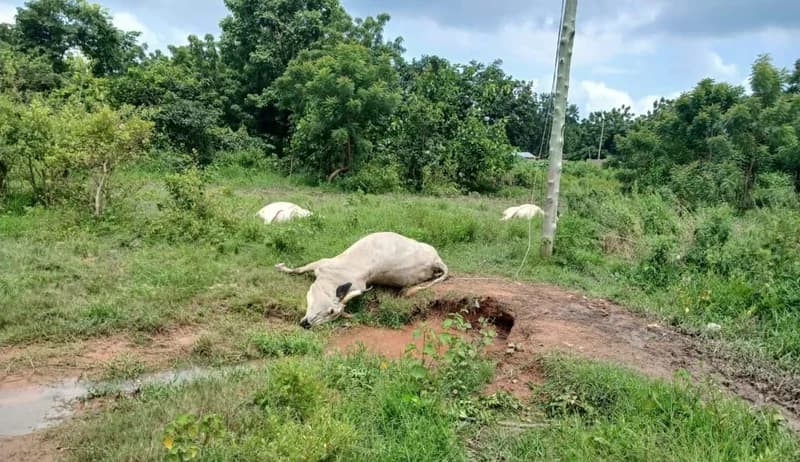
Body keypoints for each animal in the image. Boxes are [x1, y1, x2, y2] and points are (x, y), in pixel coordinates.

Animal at [275, 232, 449, 328]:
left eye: (332, 314)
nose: (307, 324)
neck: (332, 280)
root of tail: (435, 260)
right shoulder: (321, 263)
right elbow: (298, 269)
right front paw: (280, 266)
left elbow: (298, 269)